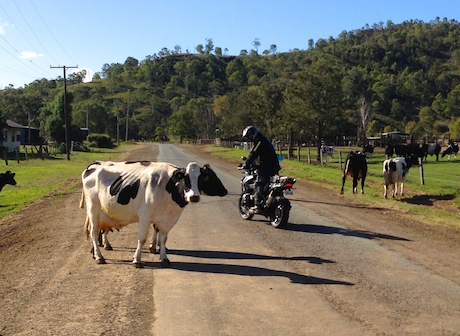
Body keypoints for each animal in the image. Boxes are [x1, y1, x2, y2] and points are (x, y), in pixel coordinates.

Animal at [82, 160, 228, 268]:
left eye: (202, 179)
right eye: (185, 179)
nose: (194, 197)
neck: (167, 187)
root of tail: (92, 168)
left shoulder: (166, 219)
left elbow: (163, 239)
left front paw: (164, 258)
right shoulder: (145, 216)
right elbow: (142, 239)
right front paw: (137, 260)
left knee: (96, 230)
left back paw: (95, 252)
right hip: (93, 208)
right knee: (94, 231)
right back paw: (99, 257)